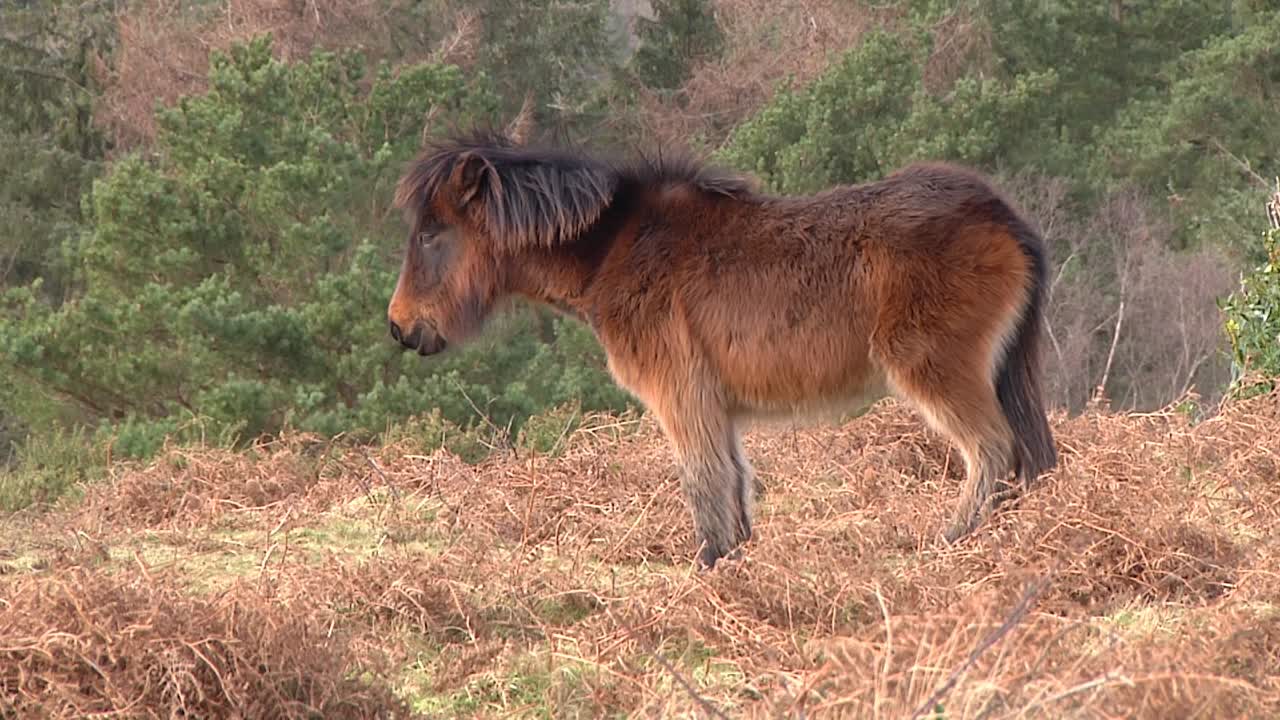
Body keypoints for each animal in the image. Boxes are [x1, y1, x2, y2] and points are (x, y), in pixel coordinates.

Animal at [385, 129, 1058, 569]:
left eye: (431, 235)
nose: (399, 327)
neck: (615, 250)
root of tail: (1002, 216)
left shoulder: (683, 397)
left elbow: (705, 485)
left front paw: (708, 572)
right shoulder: (714, 407)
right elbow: (733, 490)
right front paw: (733, 569)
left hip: (935, 369)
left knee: (994, 451)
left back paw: (952, 543)